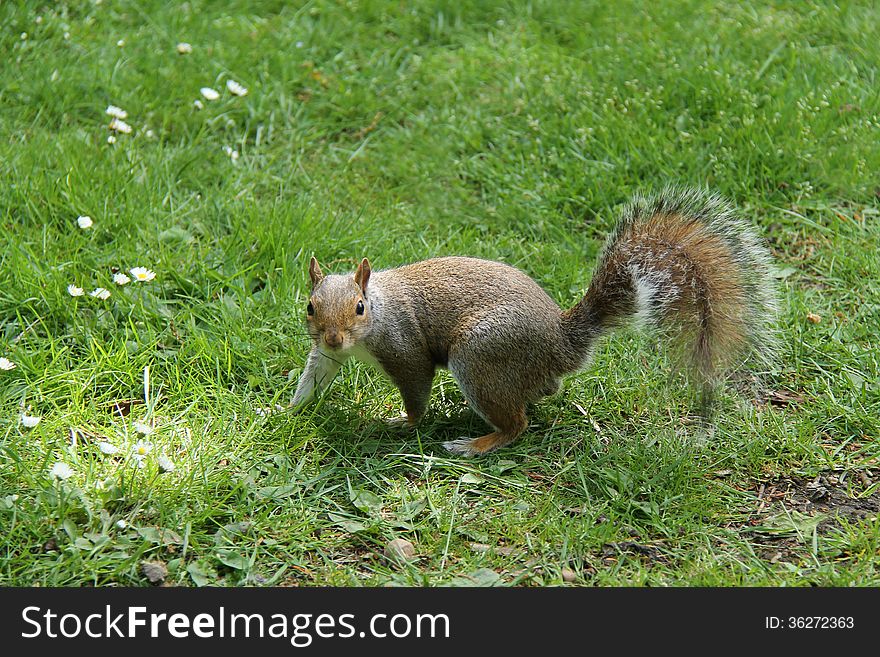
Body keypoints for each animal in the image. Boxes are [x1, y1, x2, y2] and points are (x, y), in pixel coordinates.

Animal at [294, 187, 776, 454]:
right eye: (310, 307)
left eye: (359, 307)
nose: (335, 338)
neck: (370, 324)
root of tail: (562, 343)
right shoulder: (326, 355)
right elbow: (314, 377)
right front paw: (288, 408)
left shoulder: (404, 349)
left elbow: (415, 391)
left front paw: (401, 423)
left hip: (481, 357)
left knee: (517, 425)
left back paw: (475, 444)